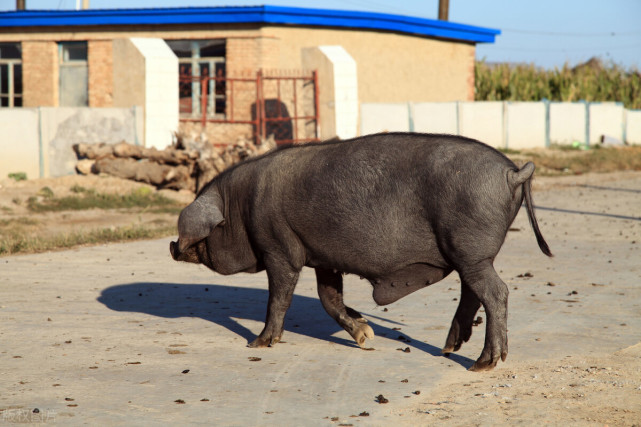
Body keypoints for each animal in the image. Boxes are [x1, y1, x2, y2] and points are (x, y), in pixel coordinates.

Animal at [170, 133, 552, 372]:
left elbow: (279, 296)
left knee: (496, 292)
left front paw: (258, 344)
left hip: (470, 251)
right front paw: (366, 337)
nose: (173, 246)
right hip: (469, 255)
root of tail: (512, 172)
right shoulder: (323, 258)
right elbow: (329, 299)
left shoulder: (279, 248)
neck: (240, 205)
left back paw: (482, 364)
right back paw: (448, 348)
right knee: (473, 293)